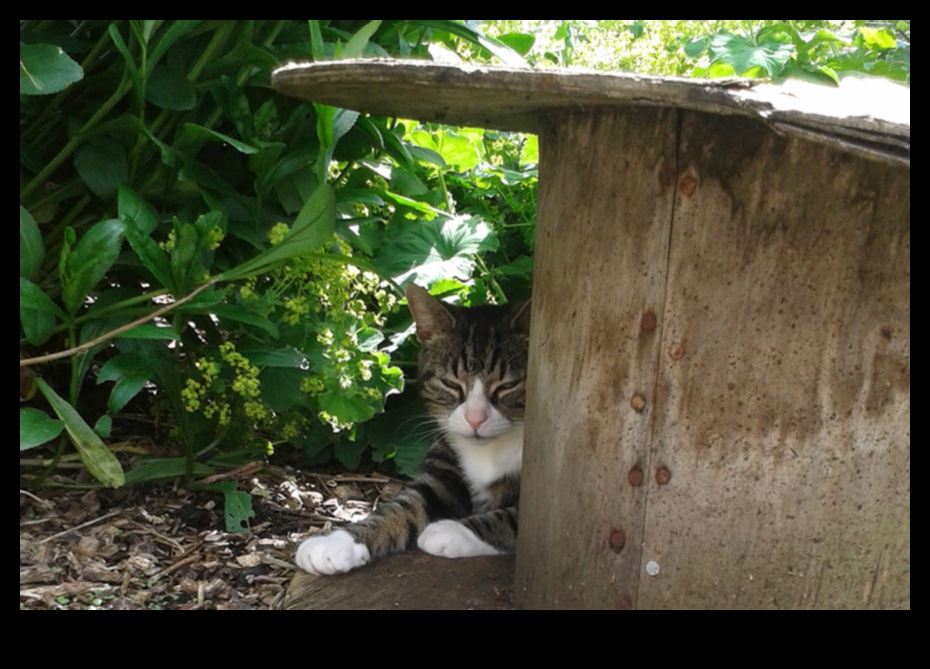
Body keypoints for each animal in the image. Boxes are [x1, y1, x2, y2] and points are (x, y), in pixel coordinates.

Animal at [298, 282, 528, 576]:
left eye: (508, 386)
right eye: (450, 383)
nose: (475, 419)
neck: (488, 452)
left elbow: (513, 518)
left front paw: (455, 531)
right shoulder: (443, 471)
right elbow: (403, 505)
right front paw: (337, 543)